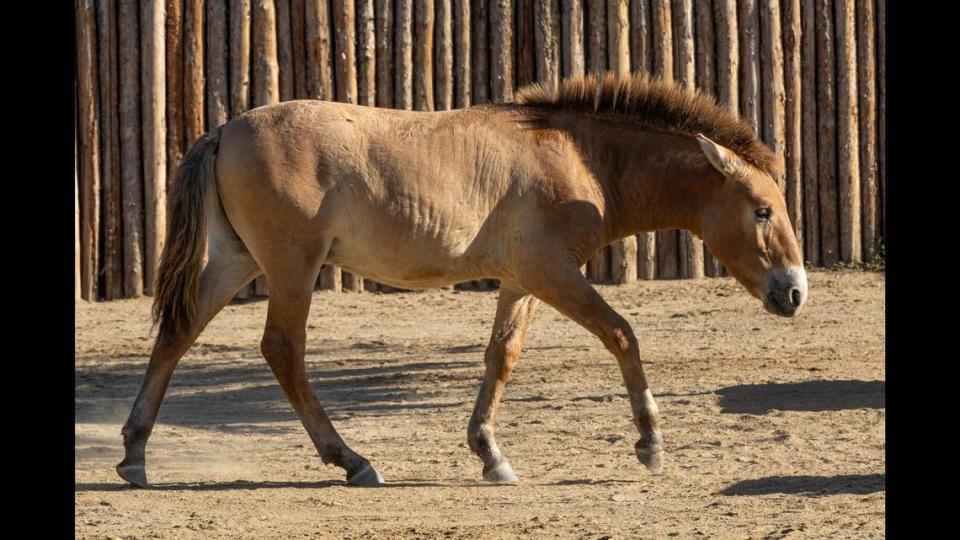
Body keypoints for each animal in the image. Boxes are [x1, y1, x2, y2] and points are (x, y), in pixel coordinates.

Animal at [120, 73, 808, 490]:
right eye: (762, 210)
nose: (795, 291)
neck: (578, 155)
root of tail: (223, 131)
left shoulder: (522, 282)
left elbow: (501, 357)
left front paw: (490, 454)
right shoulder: (552, 273)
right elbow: (622, 335)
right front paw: (651, 442)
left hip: (238, 263)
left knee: (178, 334)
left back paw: (134, 454)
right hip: (292, 268)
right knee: (282, 350)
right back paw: (352, 461)